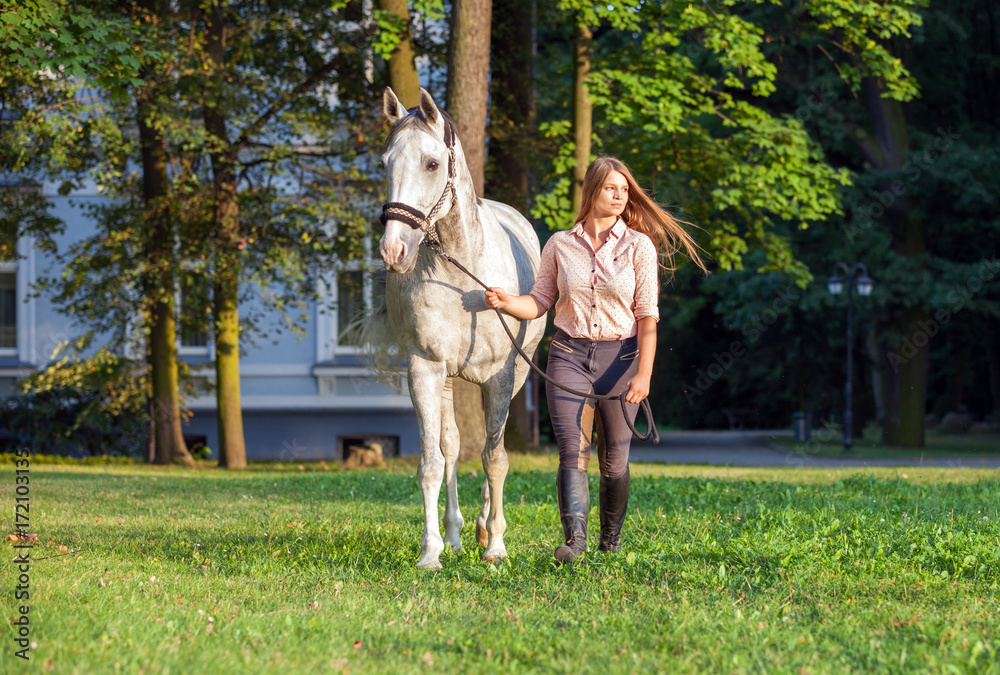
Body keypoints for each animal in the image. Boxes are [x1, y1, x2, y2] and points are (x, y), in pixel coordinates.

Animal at [376, 86, 548, 572]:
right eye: (384, 162)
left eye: (432, 163)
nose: (393, 250)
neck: (461, 273)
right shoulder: (425, 369)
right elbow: (432, 462)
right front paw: (431, 550)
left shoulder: (503, 375)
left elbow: (496, 458)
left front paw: (496, 546)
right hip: (449, 379)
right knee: (452, 447)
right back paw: (454, 535)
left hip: (516, 376)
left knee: (493, 447)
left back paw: (485, 526)